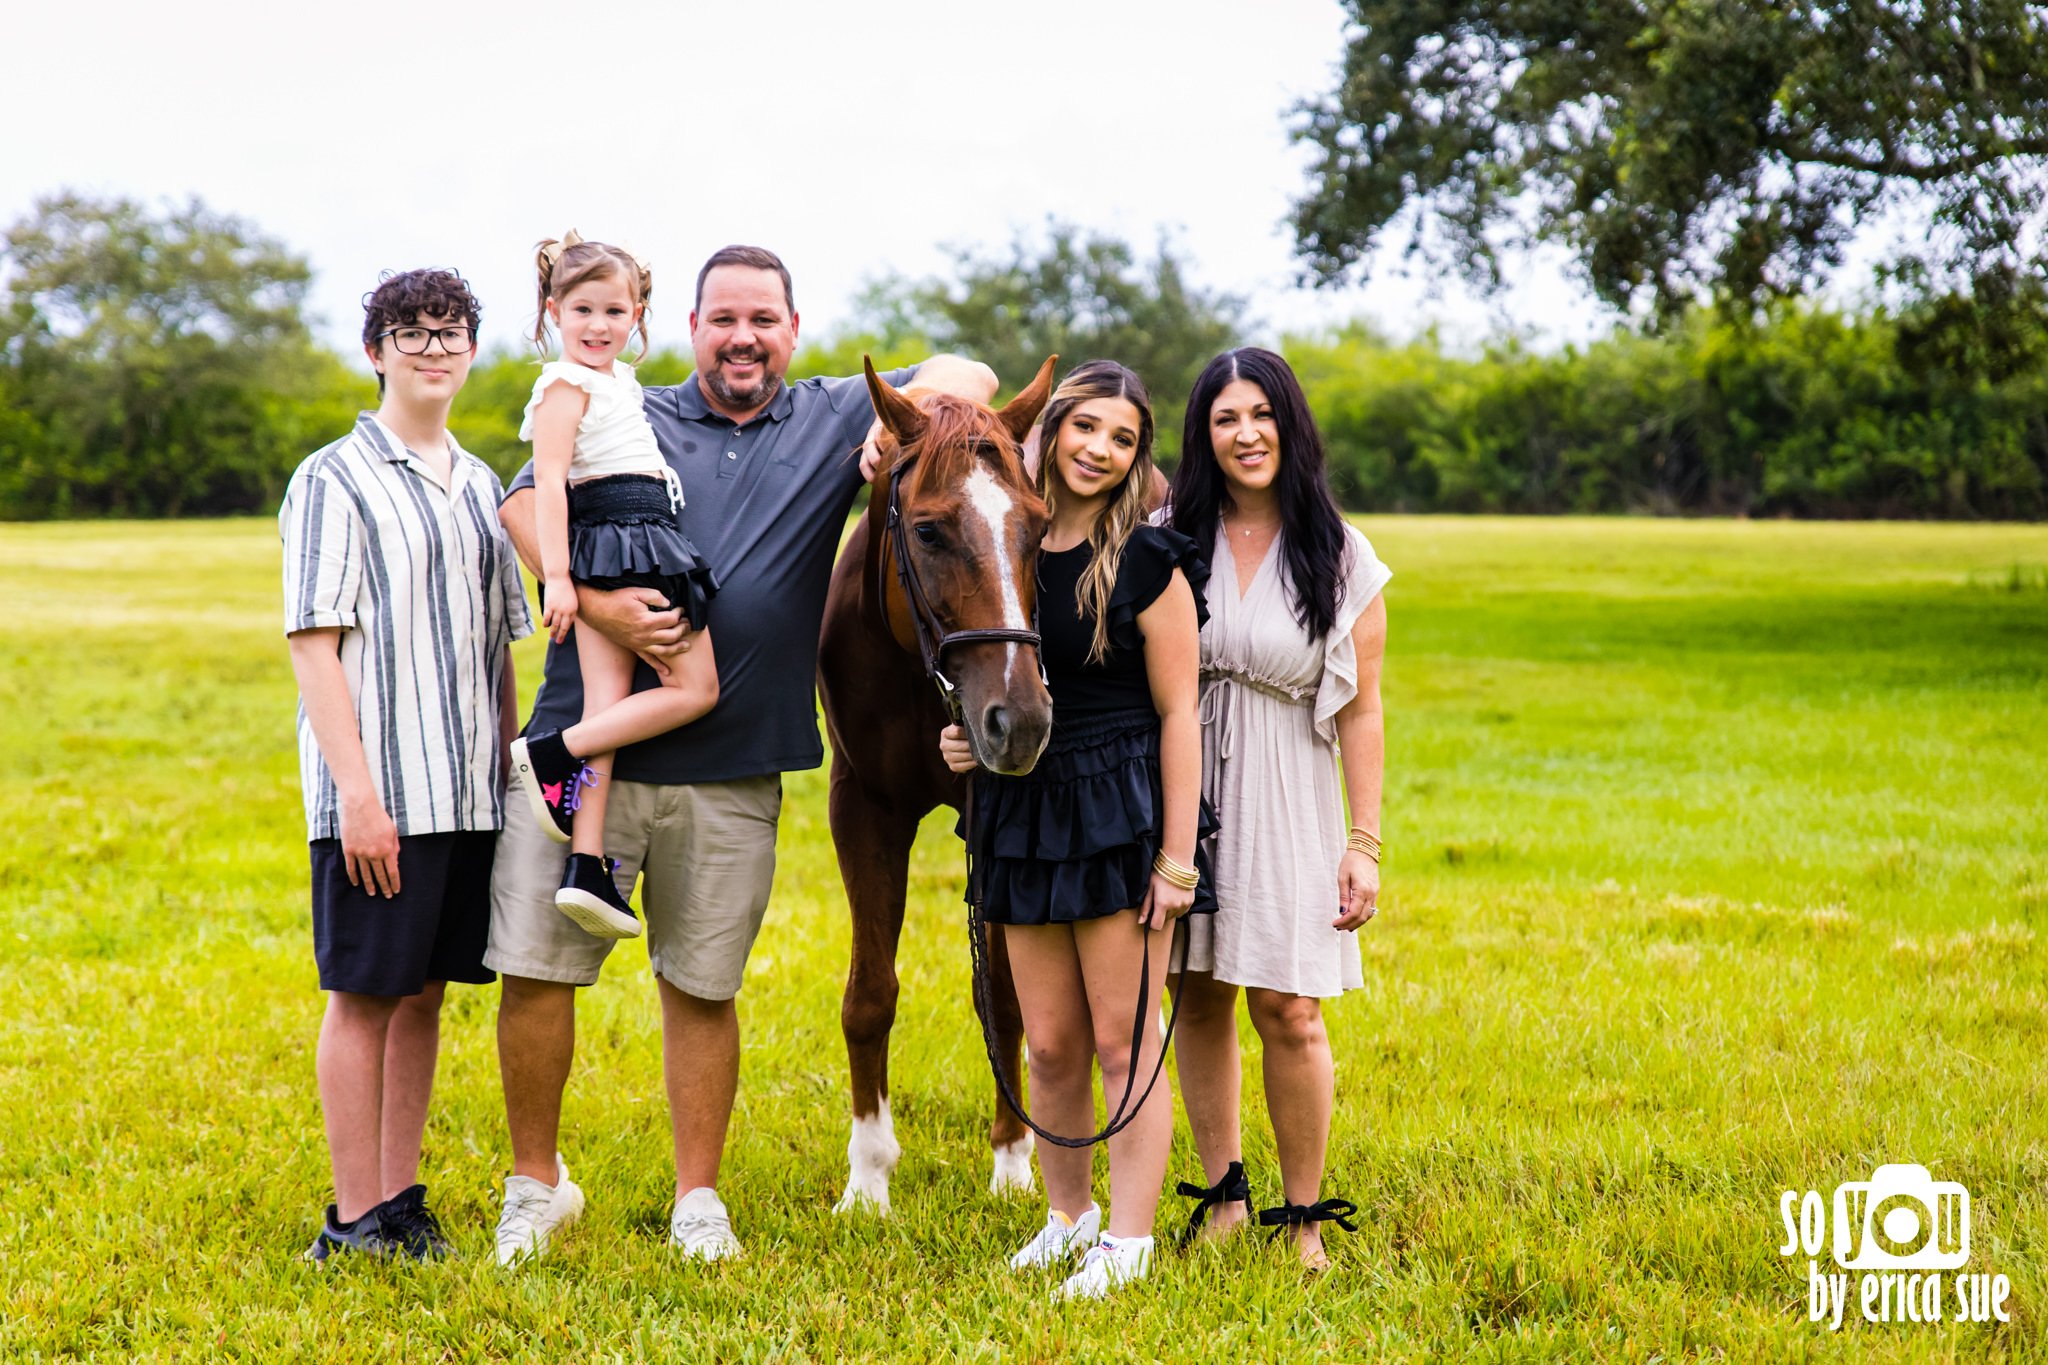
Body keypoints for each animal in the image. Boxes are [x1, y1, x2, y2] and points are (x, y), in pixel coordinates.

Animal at [819, 358, 1064, 1211]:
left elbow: (1006, 996)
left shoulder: (995, 817)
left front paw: (1015, 1164)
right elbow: (869, 993)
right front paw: (867, 1178)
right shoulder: (863, 809)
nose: (1020, 719)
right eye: (928, 530)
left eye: (1038, 529)